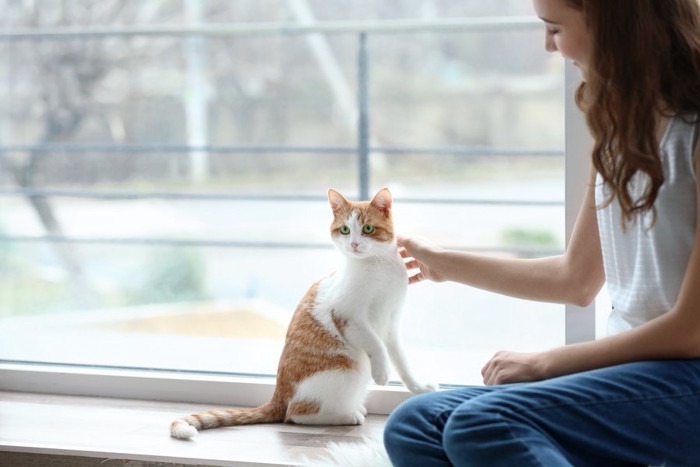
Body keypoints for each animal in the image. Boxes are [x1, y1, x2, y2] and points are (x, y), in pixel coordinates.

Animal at [171, 186, 432, 438]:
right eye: (345, 230)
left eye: (368, 228)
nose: (354, 244)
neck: (378, 268)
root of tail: (279, 395)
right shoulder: (348, 316)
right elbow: (376, 345)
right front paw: (382, 372)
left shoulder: (391, 323)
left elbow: (400, 360)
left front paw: (418, 387)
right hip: (348, 367)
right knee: (296, 413)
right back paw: (346, 415)